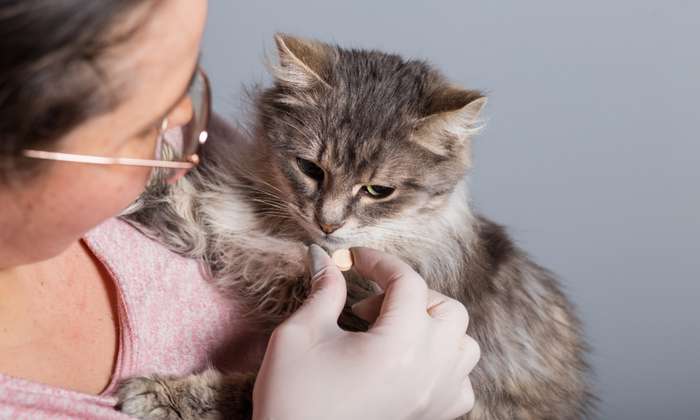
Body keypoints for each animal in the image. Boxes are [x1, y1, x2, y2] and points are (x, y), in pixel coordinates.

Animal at [116, 33, 596, 420]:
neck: (296, 241)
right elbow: (176, 200)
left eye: (378, 190)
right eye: (310, 168)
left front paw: (161, 395)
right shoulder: (223, 230)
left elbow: (247, 391)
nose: (327, 222)